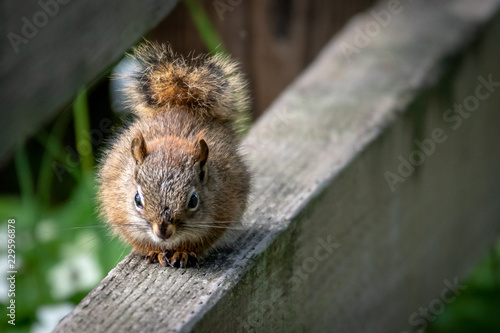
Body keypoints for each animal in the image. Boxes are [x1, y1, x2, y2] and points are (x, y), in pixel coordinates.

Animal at [98, 42, 252, 268]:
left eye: (194, 200)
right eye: (137, 199)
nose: (163, 232)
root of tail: (179, 107)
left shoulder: (223, 209)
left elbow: (202, 241)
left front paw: (182, 252)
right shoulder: (119, 209)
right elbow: (137, 239)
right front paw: (154, 251)